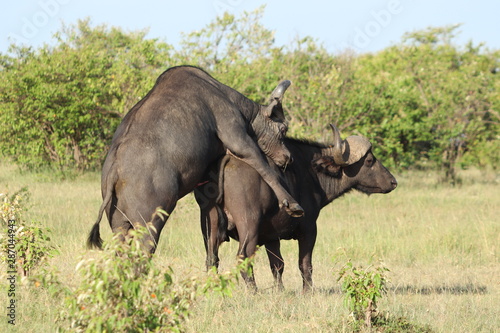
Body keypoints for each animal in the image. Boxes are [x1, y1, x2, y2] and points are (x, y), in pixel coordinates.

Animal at [87, 65, 302, 253]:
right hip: (149, 225)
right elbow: (264, 166)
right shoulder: (238, 138)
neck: (226, 96)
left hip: (120, 227)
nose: (289, 157)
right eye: (283, 129)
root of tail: (114, 171)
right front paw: (291, 203)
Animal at [193, 124, 396, 290]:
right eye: (369, 160)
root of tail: (226, 160)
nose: (393, 182)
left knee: (212, 259)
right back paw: (253, 292)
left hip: (209, 223)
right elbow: (305, 264)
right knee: (243, 257)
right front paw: (308, 291)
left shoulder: (271, 237)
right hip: (249, 224)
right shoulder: (309, 229)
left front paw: (280, 291)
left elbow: (277, 265)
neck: (310, 171)